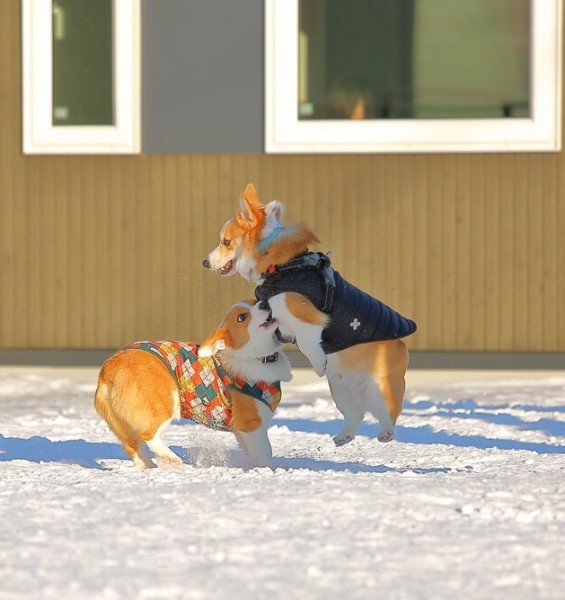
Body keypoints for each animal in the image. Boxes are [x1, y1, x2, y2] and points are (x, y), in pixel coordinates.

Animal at [93, 300, 290, 468]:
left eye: (254, 301)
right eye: (242, 317)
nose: (264, 302)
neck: (255, 357)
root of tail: (111, 365)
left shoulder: (242, 431)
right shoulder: (252, 424)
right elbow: (265, 453)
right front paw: (269, 471)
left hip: (119, 422)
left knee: (132, 446)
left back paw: (150, 467)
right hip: (165, 402)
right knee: (147, 434)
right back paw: (170, 457)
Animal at [203, 183, 414, 446]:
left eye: (226, 242)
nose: (204, 262)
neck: (280, 266)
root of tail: (402, 344)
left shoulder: (305, 316)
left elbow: (307, 342)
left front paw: (319, 364)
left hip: (380, 387)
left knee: (389, 412)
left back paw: (386, 433)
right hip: (339, 389)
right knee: (355, 413)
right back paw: (343, 436)